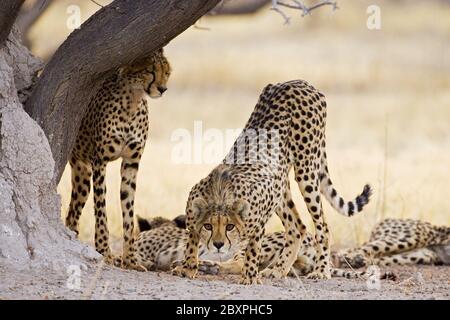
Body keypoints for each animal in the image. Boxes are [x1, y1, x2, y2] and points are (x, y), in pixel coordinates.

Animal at [65, 47, 172, 268]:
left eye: (166, 71)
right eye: (150, 70)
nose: (163, 88)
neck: (132, 100)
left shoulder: (131, 164)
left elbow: (129, 211)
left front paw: (130, 259)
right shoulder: (99, 162)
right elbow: (101, 211)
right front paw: (104, 252)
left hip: (82, 177)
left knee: (72, 213)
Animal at [172, 80, 372, 284]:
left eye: (229, 226)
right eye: (208, 226)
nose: (218, 244)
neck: (220, 194)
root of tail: (299, 82)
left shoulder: (257, 222)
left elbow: (252, 249)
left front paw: (249, 277)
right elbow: (192, 240)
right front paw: (187, 268)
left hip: (306, 168)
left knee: (321, 225)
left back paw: (321, 270)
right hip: (281, 187)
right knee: (297, 227)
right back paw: (278, 270)